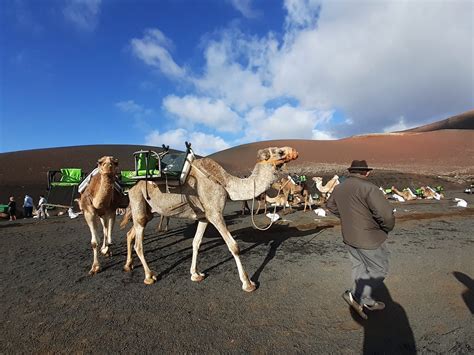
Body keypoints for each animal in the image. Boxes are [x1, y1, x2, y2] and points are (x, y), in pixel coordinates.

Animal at [119, 147, 296, 292]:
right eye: (280, 152)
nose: (294, 152)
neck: (226, 183)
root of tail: (130, 184)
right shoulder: (215, 213)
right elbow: (234, 246)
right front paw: (248, 283)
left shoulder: (204, 216)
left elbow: (196, 243)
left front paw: (195, 274)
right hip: (137, 199)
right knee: (138, 244)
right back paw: (149, 276)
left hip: (146, 210)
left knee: (130, 233)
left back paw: (128, 265)